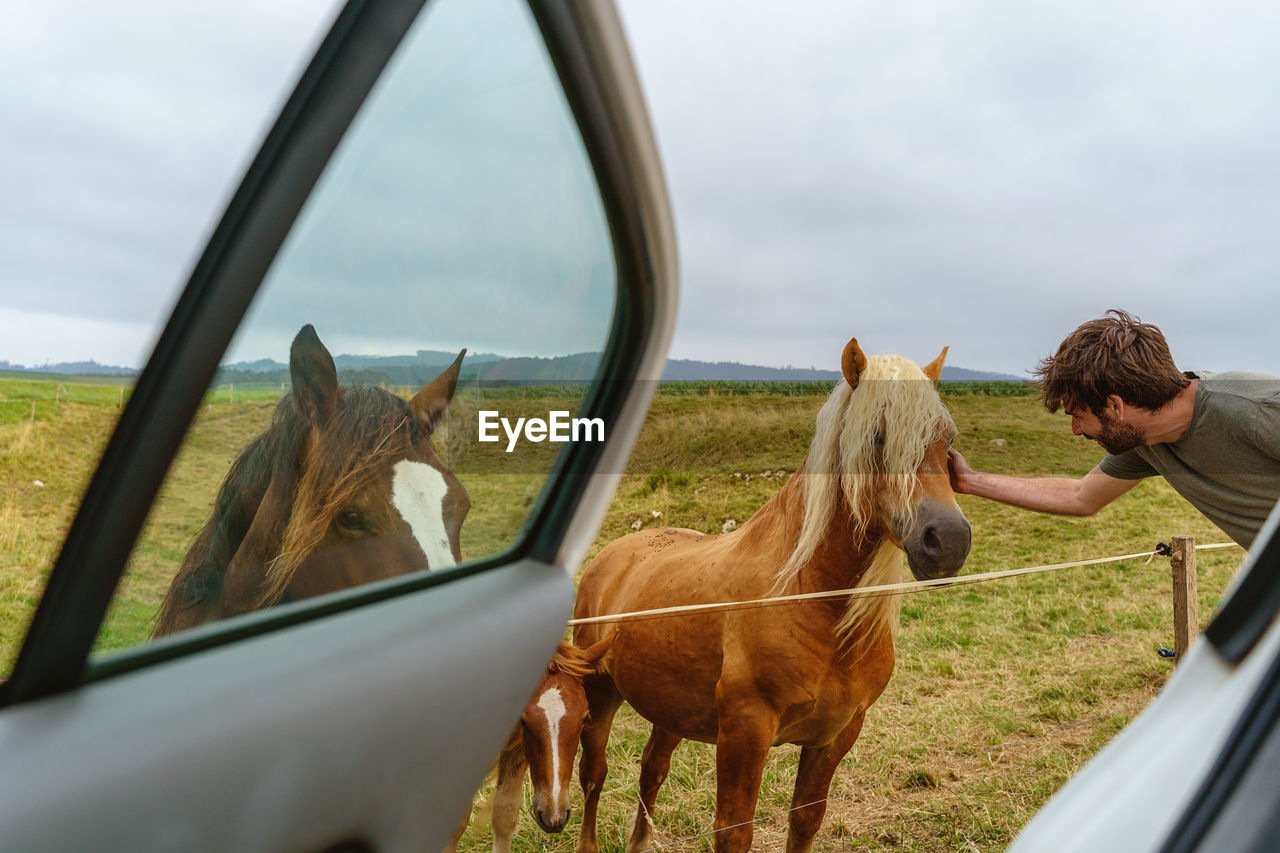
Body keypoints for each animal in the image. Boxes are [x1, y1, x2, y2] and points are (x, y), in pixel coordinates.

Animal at [573, 335, 967, 850]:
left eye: (948, 438)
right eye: (877, 436)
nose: (949, 540)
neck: (811, 598)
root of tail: (612, 554)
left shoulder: (835, 735)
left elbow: (806, 820)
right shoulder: (745, 732)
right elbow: (734, 830)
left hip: (669, 708)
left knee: (651, 769)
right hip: (600, 697)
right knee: (594, 775)